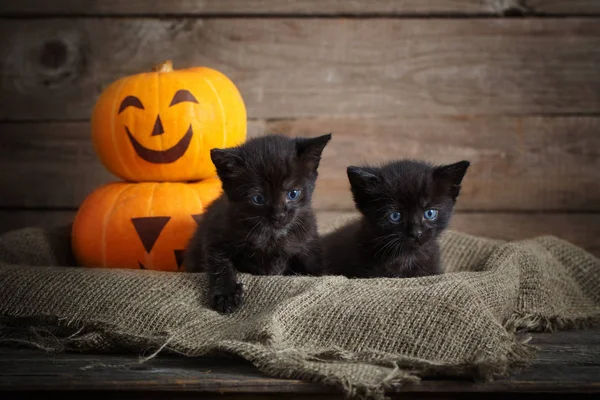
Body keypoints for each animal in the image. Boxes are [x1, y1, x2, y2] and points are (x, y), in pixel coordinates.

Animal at [184, 133, 330, 314]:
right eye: (258, 198)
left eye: (293, 194)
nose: (279, 215)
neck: (272, 236)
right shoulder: (215, 235)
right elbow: (221, 266)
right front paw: (226, 295)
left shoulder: (309, 243)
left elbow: (315, 268)